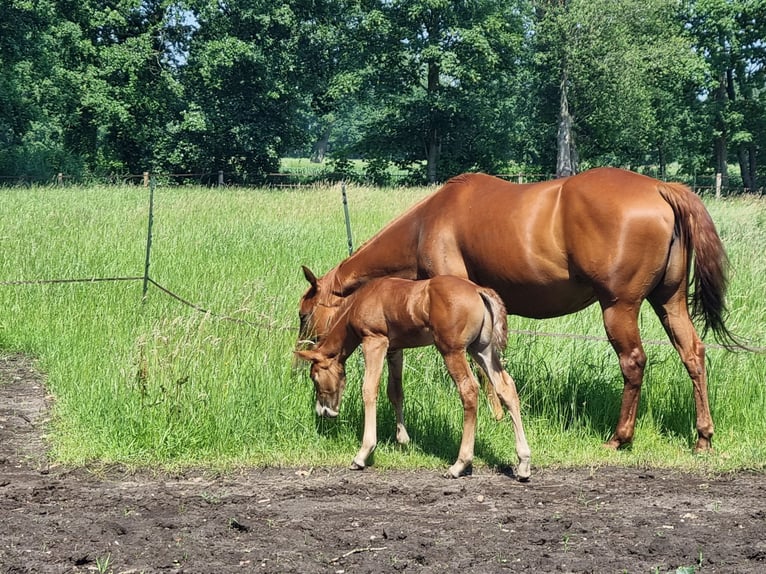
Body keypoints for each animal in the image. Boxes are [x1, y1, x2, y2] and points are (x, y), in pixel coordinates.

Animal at [295, 275, 532, 479]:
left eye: (314, 377)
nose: (323, 411)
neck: (360, 300)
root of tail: (478, 290)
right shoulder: (394, 349)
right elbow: (395, 392)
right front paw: (403, 439)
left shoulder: (374, 341)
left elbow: (369, 389)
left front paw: (363, 454)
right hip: (482, 348)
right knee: (506, 388)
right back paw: (523, 464)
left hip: (452, 350)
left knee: (469, 390)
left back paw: (459, 464)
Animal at [298, 167, 741, 453]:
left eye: (305, 313)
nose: (304, 349)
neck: (428, 221)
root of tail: (660, 188)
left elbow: (481, 370)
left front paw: (495, 412)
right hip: (669, 302)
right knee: (693, 354)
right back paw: (702, 436)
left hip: (619, 307)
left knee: (633, 362)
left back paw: (620, 436)